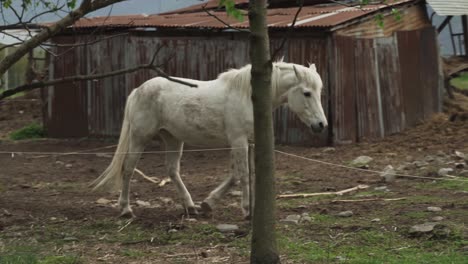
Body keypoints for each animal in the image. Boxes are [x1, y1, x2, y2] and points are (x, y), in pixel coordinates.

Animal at [90, 61, 326, 219]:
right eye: (306, 93)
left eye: (319, 91)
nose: (321, 125)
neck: (248, 96)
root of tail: (138, 91)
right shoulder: (238, 140)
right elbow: (243, 175)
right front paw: (247, 210)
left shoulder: (245, 142)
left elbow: (236, 175)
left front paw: (209, 203)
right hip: (140, 137)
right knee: (129, 169)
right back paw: (125, 209)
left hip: (173, 138)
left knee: (172, 170)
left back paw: (190, 206)